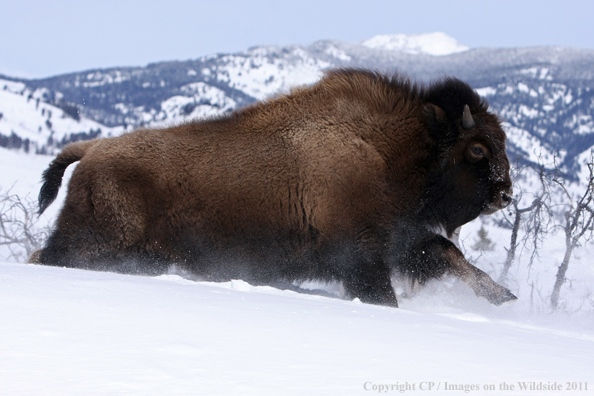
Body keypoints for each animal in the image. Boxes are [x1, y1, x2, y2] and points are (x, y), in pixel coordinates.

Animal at [32, 69, 512, 306]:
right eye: (476, 149)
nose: (505, 192)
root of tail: (92, 148)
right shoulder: (362, 255)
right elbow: (385, 292)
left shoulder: (402, 239)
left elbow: (449, 254)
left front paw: (504, 297)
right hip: (94, 242)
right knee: (46, 257)